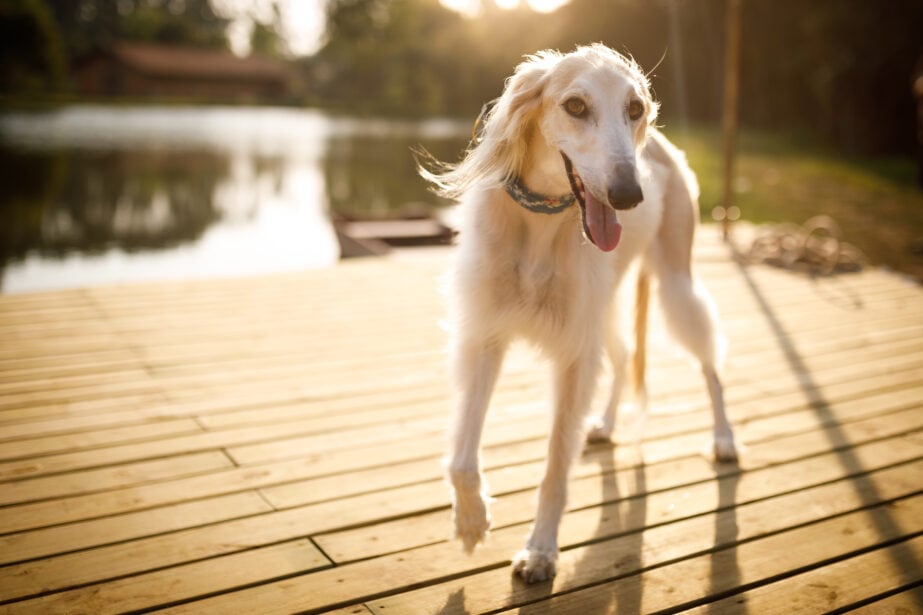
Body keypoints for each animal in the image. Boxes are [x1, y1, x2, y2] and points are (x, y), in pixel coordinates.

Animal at [422, 45, 740, 584]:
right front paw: (471, 522)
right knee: (625, 355)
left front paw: (541, 550)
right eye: (575, 105)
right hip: (604, 308)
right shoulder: (487, 335)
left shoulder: (573, 354)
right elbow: (462, 458)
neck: (540, 221)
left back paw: (723, 437)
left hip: (676, 283)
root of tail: (663, 147)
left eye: (634, 108)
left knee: (710, 358)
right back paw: (606, 425)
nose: (629, 195)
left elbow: (555, 466)